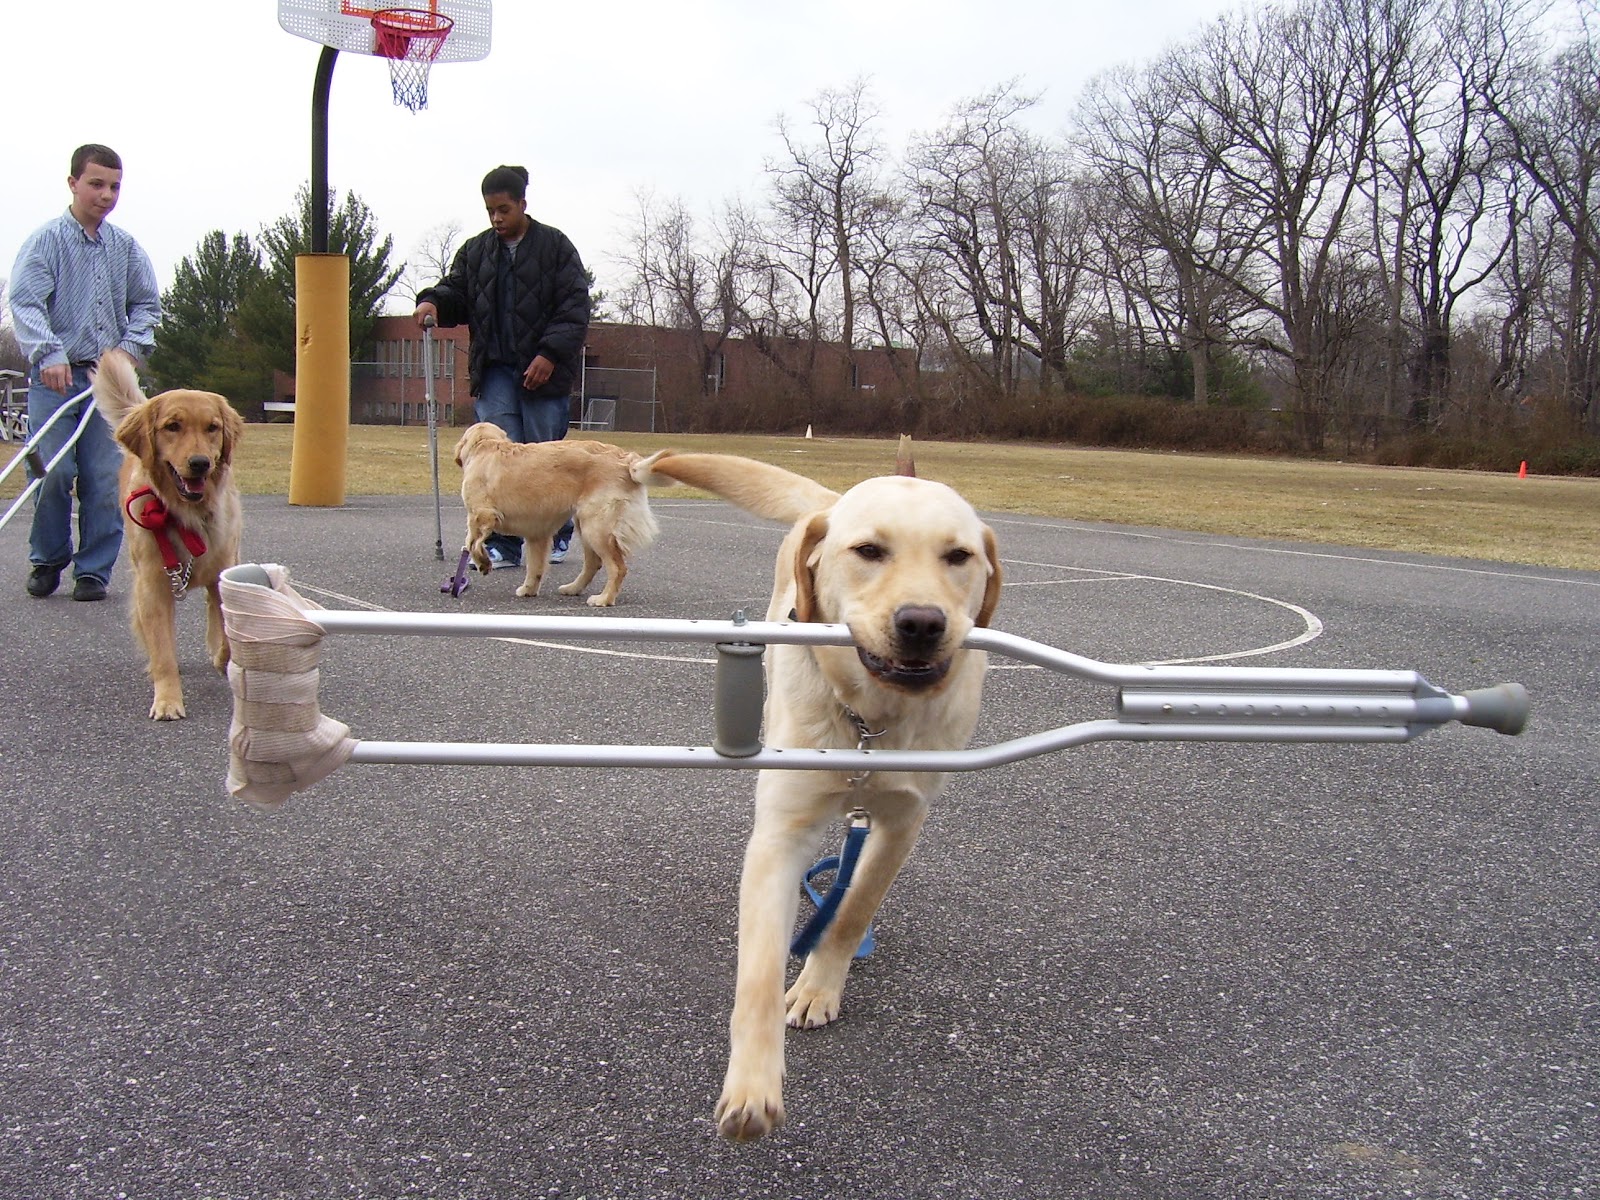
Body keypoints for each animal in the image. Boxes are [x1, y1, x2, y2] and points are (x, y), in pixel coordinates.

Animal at [91, 347, 243, 723]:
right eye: (172, 426)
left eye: (213, 428)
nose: (200, 463)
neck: (188, 515)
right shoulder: (154, 584)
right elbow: (163, 651)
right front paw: (168, 700)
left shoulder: (224, 569)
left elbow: (225, 625)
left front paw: (224, 657)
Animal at [457, 425, 668, 611]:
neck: (485, 445)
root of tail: (626, 460)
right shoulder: (537, 533)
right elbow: (535, 567)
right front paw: (528, 590)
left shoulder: (480, 515)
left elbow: (471, 543)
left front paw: (483, 563)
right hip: (585, 525)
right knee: (594, 563)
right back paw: (573, 588)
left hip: (595, 527)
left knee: (617, 568)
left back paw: (604, 599)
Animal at [640, 448, 992, 1139]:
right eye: (869, 551)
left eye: (959, 556)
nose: (921, 623)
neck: (871, 724)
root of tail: (828, 500)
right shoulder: (782, 832)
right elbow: (758, 969)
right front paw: (753, 1082)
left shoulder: (903, 822)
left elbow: (852, 909)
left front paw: (819, 984)